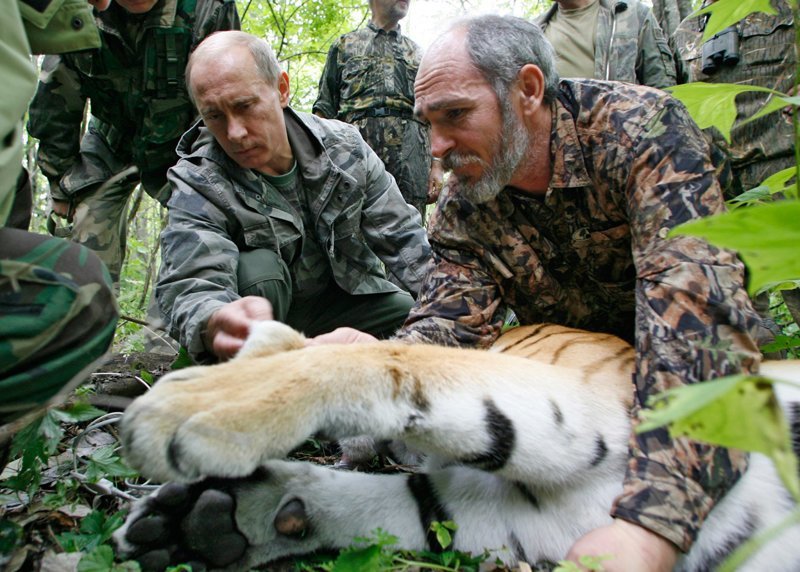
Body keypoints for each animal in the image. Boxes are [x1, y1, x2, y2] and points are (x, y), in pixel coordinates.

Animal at [117, 320, 800, 568]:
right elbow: (399, 502)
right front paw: (205, 523)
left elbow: (391, 354)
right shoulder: (533, 516)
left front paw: (201, 403)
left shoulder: (591, 407)